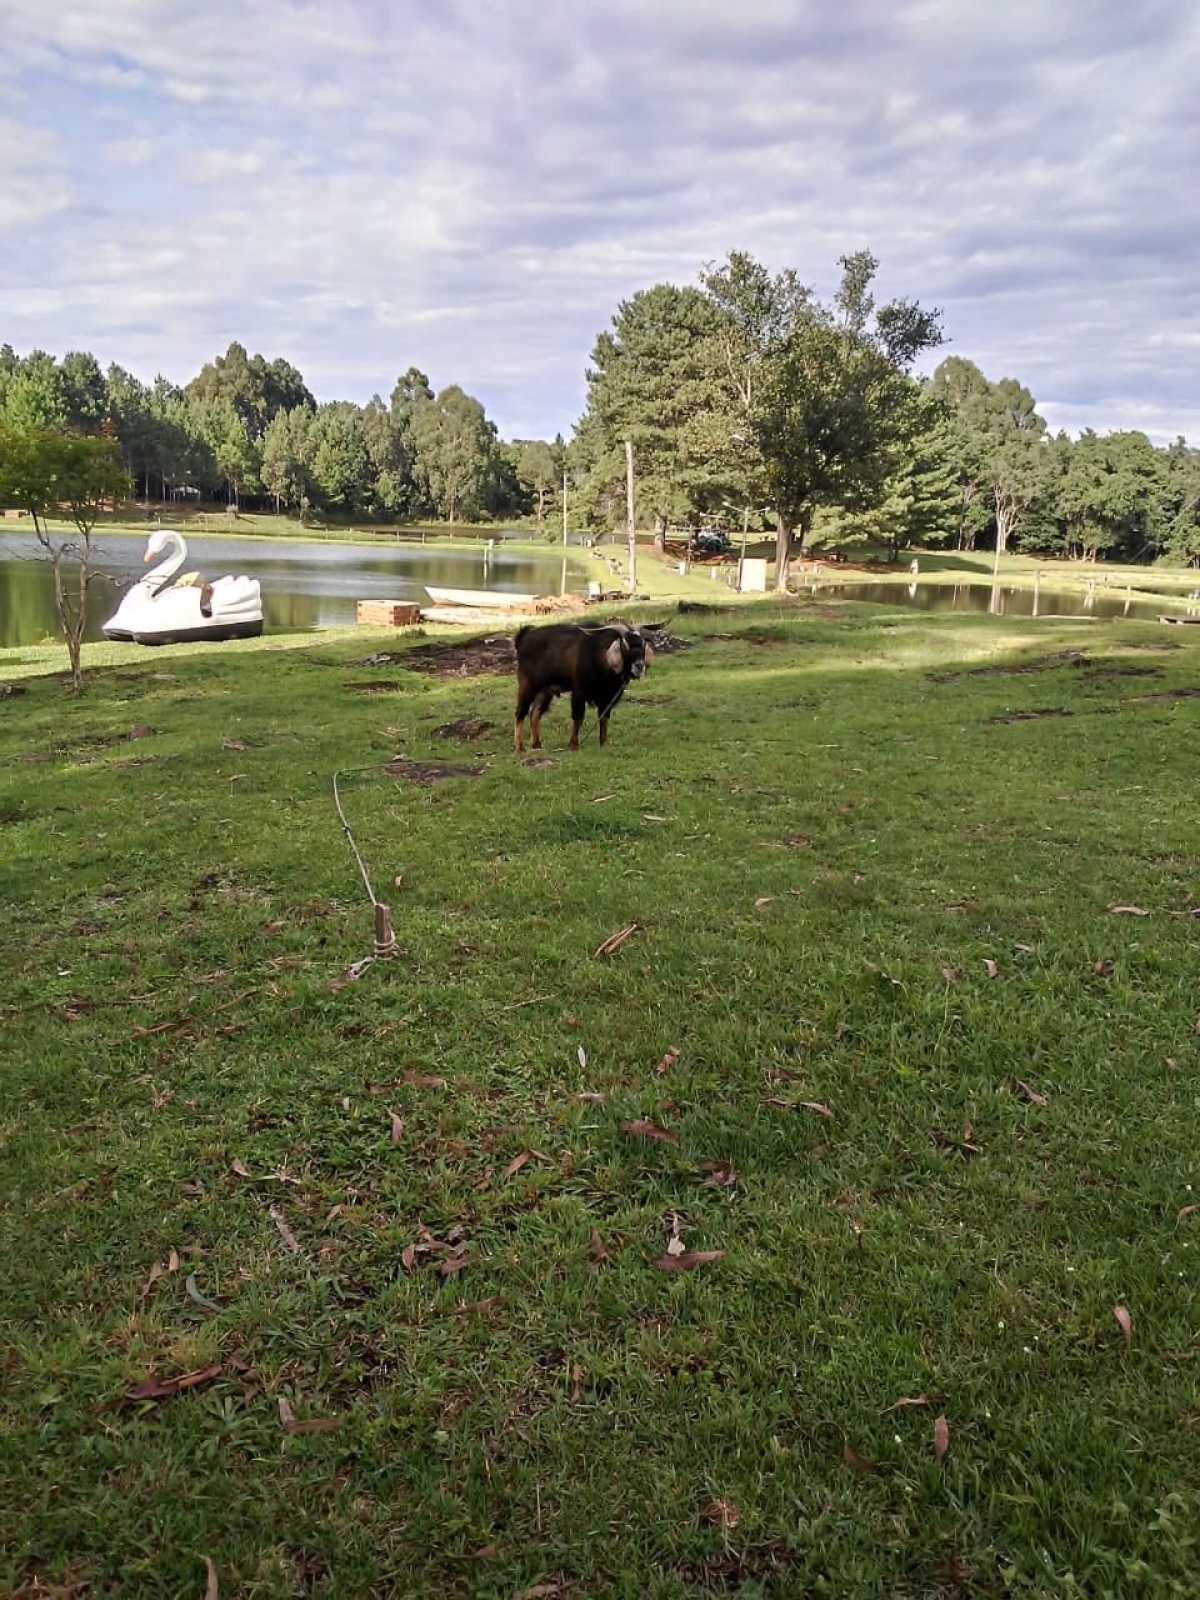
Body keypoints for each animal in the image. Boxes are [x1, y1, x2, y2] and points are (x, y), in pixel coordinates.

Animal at [515, 620, 652, 752]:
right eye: (625, 645)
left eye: (643, 644)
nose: (639, 666)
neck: (598, 654)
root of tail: (524, 638)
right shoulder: (579, 692)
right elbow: (578, 717)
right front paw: (574, 745)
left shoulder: (607, 696)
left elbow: (604, 717)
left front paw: (604, 742)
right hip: (528, 685)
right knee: (520, 713)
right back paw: (520, 747)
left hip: (545, 690)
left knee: (534, 713)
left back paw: (537, 745)